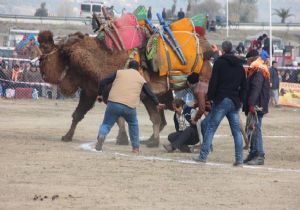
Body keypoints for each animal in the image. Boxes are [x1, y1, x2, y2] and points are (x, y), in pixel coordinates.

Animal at [36, 30, 212, 147]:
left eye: (45, 47)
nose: (39, 63)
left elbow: (120, 117)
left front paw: (123, 139)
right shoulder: (92, 92)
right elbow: (80, 115)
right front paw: (67, 136)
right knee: (165, 117)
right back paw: (150, 140)